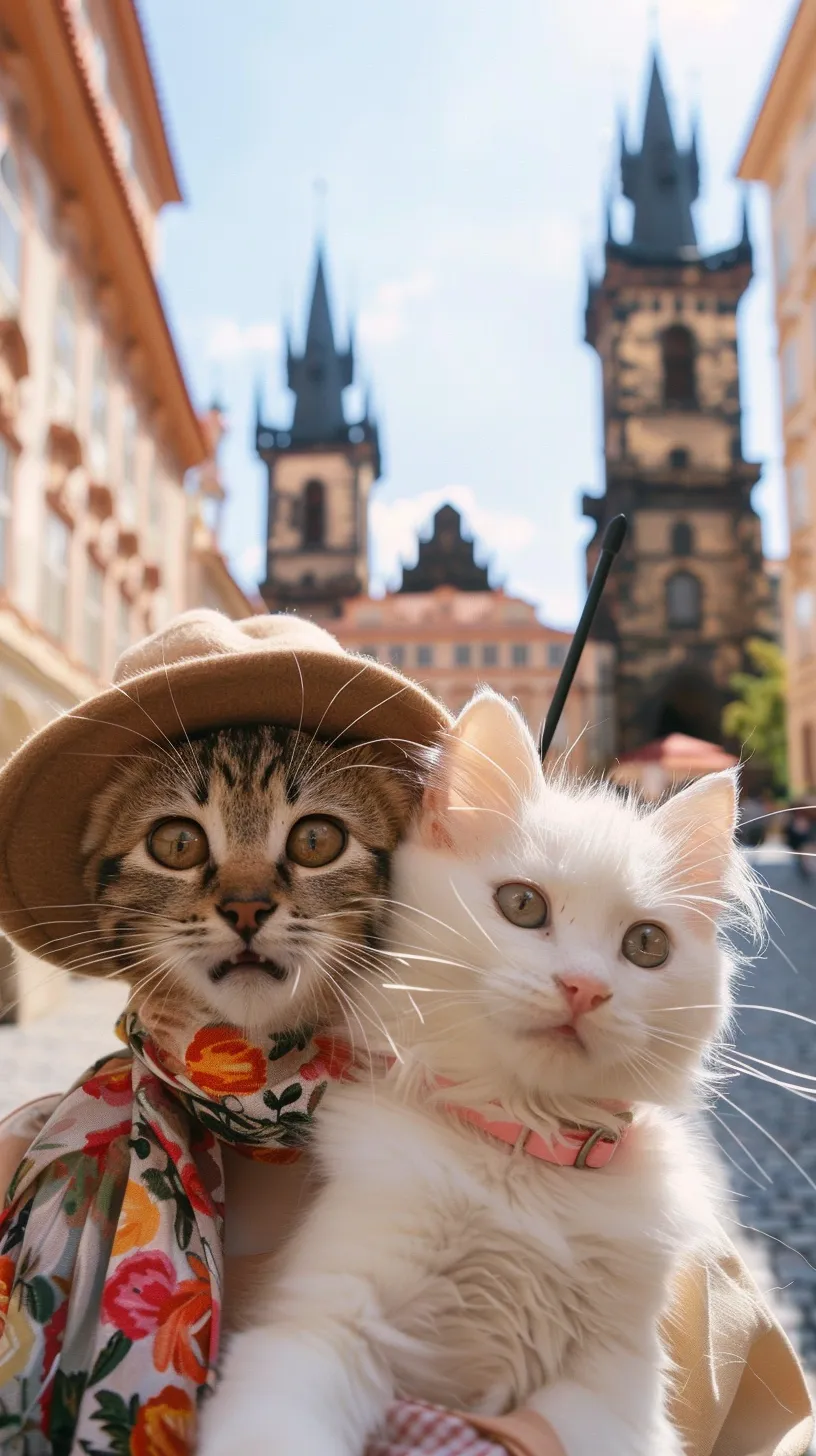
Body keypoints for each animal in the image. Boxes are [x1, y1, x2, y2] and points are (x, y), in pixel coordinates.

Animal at [201, 690, 763, 1456]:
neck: (524, 1154)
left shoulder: (611, 1389)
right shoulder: (323, 1320)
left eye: (646, 945)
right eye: (523, 905)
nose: (586, 988)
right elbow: (278, 1426)